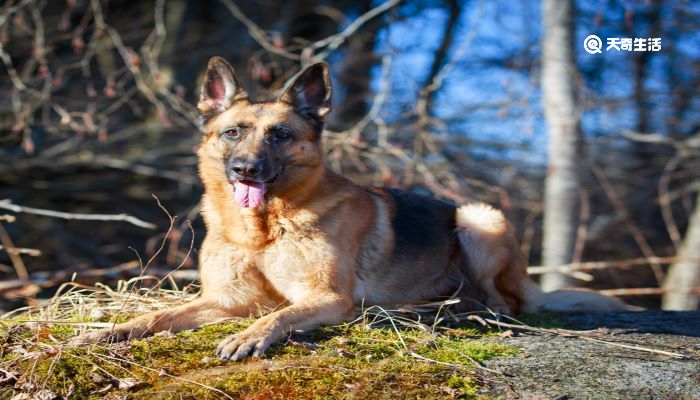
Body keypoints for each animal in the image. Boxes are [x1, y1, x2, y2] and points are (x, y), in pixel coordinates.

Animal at [74, 55, 632, 360]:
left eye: (280, 135)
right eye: (233, 133)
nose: (246, 170)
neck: (264, 227)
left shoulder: (325, 298)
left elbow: (279, 316)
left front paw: (249, 338)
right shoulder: (225, 301)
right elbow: (160, 315)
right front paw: (111, 329)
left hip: (479, 217)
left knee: (502, 304)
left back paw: (446, 309)